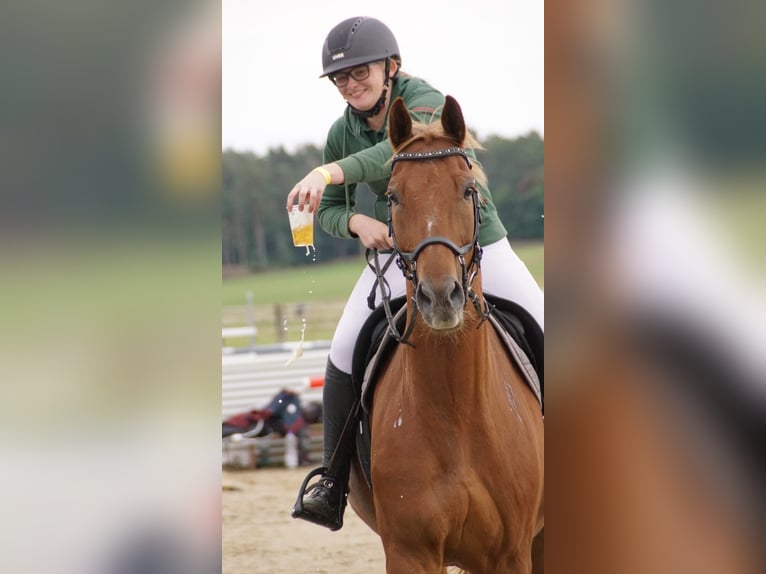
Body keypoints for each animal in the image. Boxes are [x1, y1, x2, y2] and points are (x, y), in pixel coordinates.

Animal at [348, 97, 544, 572]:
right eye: (393, 196)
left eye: (468, 190)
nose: (440, 297)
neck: (456, 409)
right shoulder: (410, 552)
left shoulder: (513, 553)